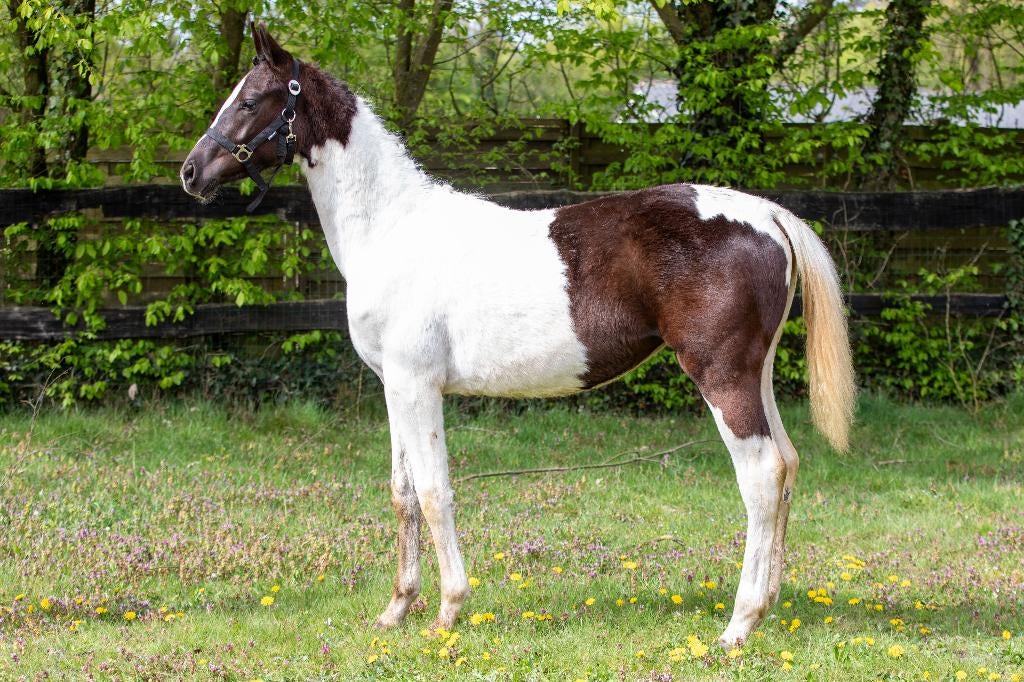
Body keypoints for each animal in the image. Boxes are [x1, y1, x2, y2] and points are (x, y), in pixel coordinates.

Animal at [181, 23, 855, 647]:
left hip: (721, 377)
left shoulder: (417, 386)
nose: (191, 172)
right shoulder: (393, 387)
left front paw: (448, 612)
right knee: (787, 465)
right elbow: (402, 493)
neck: (391, 228)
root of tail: (769, 215)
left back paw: (737, 626)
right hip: (755, 375)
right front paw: (396, 610)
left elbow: (435, 492)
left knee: (761, 475)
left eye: (250, 100)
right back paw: (765, 609)